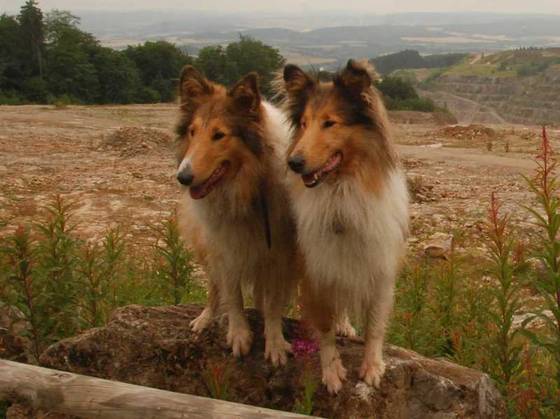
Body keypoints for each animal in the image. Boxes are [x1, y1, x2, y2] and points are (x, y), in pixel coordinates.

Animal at [175, 66, 298, 365]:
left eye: (219, 135)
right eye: (192, 132)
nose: (183, 177)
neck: (245, 189)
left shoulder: (278, 253)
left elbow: (274, 303)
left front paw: (275, 343)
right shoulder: (225, 246)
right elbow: (232, 294)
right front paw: (239, 334)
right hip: (206, 247)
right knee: (214, 287)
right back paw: (204, 318)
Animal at [279, 60, 409, 393]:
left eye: (330, 123)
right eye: (303, 123)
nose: (294, 163)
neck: (341, 192)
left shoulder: (378, 267)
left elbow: (375, 324)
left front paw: (372, 367)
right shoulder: (316, 268)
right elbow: (323, 327)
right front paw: (333, 371)